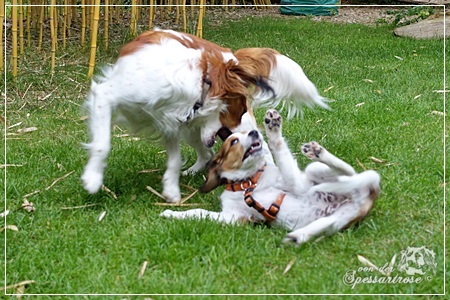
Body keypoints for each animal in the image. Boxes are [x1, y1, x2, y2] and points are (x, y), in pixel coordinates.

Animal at [161, 109, 380, 245]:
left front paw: (273, 128)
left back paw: (315, 150)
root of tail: (367, 196)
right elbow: (197, 212)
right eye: (233, 141)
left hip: (312, 173)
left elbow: (279, 150)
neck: (247, 183)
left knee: (348, 171)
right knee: (324, 223)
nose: (254, 131)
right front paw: (172, 214)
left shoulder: (289, 181)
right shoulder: (233, 217)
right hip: (338, 219)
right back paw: (297, 237)